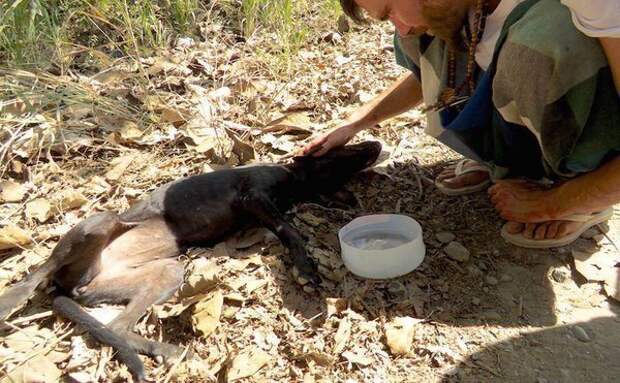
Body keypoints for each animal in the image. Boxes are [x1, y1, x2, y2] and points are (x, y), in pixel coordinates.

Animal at [0, 140, 382, 380]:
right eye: (346, 147)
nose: (376, 143)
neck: (296, 184)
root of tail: (70, 288)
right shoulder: (253, 196)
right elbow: (290, 230)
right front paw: (305, 269)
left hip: (166, 272)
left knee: (118, 326)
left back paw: (166, 352)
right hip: (101, 222)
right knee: (40, 271)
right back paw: (14, 298)